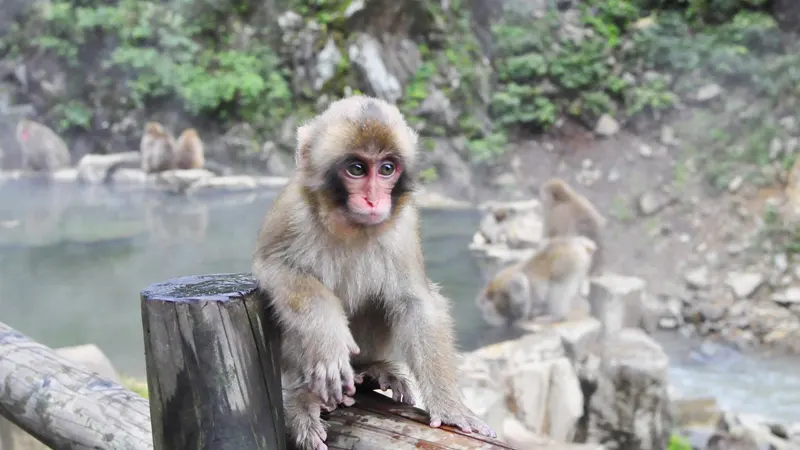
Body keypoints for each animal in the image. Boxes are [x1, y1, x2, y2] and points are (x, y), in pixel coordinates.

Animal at [252, 95, 496, 450]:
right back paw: (303, 397)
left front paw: (450, 407)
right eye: (357, 169)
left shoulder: (405, 223)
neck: (349, 223)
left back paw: (370, 369)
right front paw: (329, 341)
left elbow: (414, 302)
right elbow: (275, 269)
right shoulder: (291, 209)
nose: (372, 199)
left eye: (386, 169)